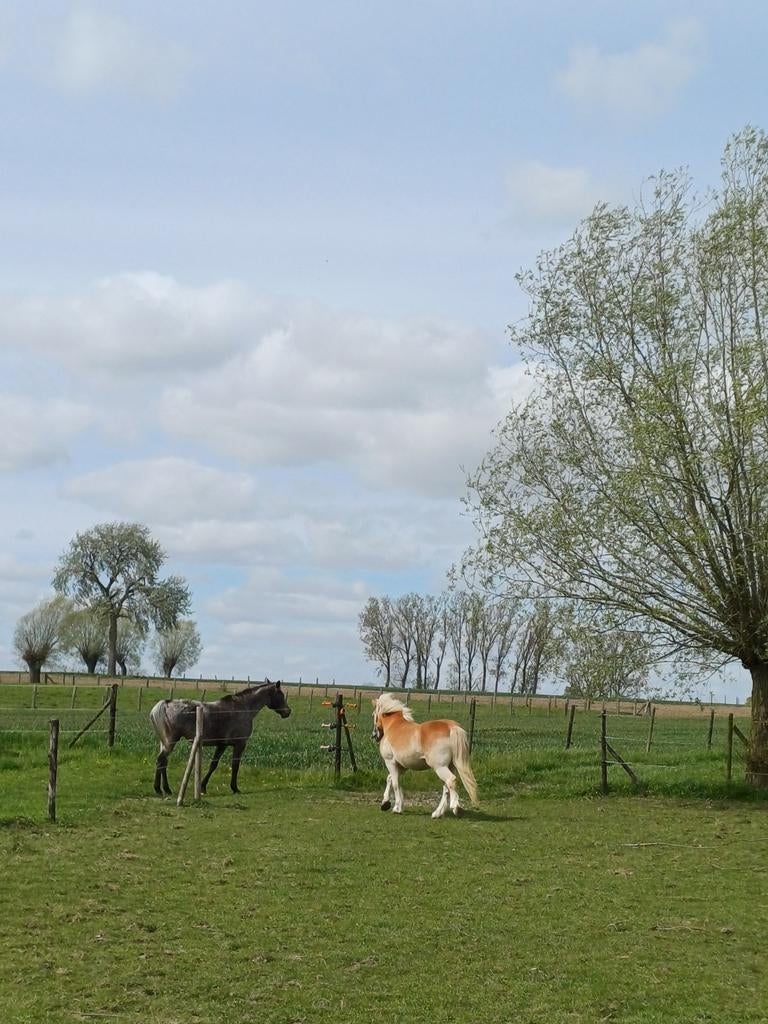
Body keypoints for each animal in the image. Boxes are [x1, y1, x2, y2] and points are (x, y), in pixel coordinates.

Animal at [149, 680, 291, 796]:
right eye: (280, 694)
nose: (288, 711)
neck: (243, 708)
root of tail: (166, 704)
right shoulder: (239, 745)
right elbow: (235, 765)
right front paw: (235, 788)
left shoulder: (222, 745)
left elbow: (213, 765)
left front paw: (203, 787)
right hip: (171, 741)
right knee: (161, 760)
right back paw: (159, 789)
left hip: (165, 743)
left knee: (163, 762)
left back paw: (166, 789)